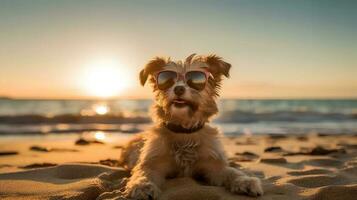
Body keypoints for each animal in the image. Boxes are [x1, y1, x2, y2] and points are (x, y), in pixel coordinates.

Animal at [119, 54, 262, 199]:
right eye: (167, 79)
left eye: (195, 80)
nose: (179, 88)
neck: (184, 130)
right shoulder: (153, 162)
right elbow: (143, 173)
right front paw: (142, 186)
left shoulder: (214, 165)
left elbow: (230, 172)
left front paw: (245, 181)